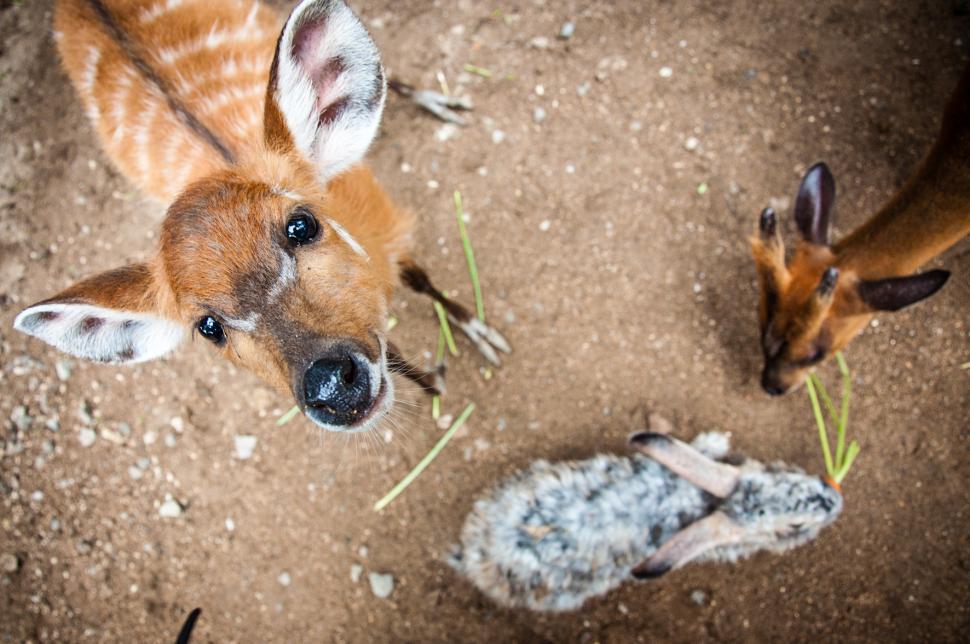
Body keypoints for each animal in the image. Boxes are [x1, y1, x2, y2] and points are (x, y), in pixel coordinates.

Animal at [13, 0, 509, 432]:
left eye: (301, 224)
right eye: (208, 326)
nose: (331, 385)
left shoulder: (384, 228)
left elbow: (424, 281)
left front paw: (486, 337)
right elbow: (398, 350)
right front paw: (434, 385)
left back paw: (440, 102)